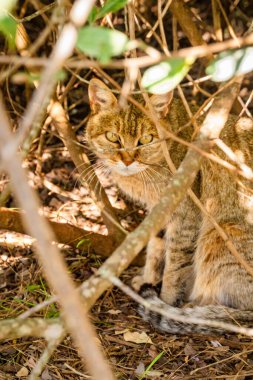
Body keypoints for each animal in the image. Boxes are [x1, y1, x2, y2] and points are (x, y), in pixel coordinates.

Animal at [85, 76, 253, 332]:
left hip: (219, 234)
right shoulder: (159, 210)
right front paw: (148, 278)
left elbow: (175, 264)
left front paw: (165, 300)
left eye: (146, 139)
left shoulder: (185, 217)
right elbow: (155, 246)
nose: (127, 160)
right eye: (113, 137)